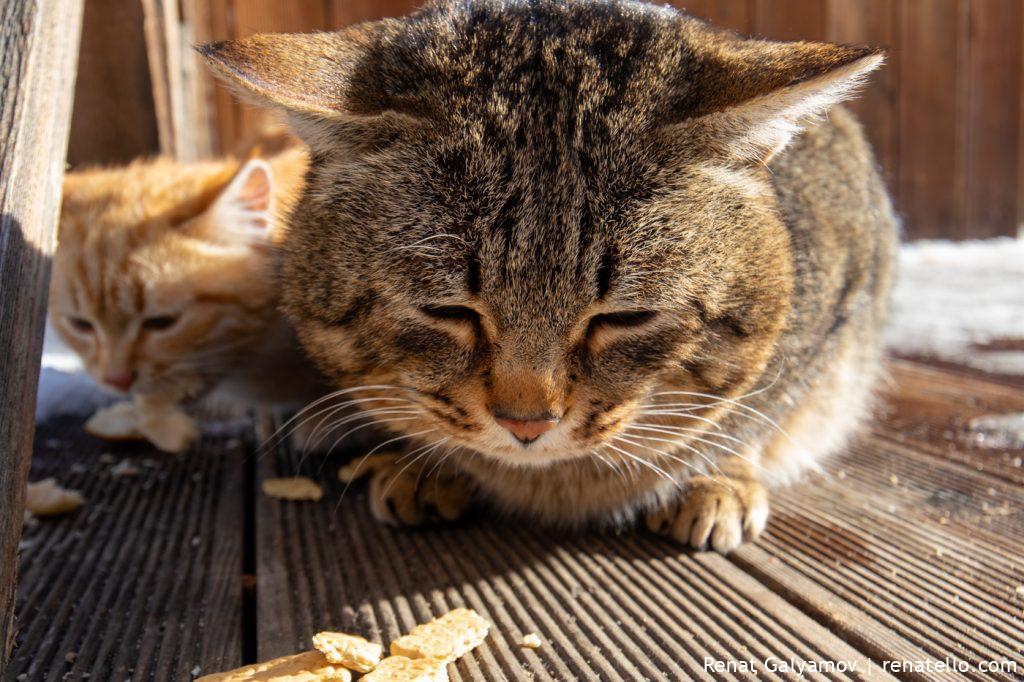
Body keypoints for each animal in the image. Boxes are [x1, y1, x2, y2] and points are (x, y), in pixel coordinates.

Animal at [199, 0, 897, 548]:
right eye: (446, 312)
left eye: (627, 317)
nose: (526, 424)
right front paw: (427, 463)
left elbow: (754, 411)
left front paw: (720, 473)